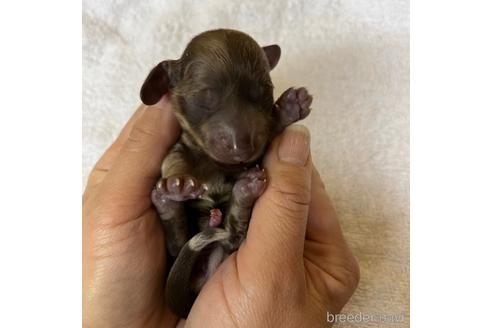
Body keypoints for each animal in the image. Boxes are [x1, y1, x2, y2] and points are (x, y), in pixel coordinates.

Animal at [140, 28, 314, 318]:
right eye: (205, 98)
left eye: (263, 92)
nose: (241, 145)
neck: (218, 165)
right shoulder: (181, 145)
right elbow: (174, 159)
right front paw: (177, 184)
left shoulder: (259, 150)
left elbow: (269, 133)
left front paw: (288, 109)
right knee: (177, 243)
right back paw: (167, 202)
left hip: (228, 239)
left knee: (235, 234)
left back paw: (245, 192)